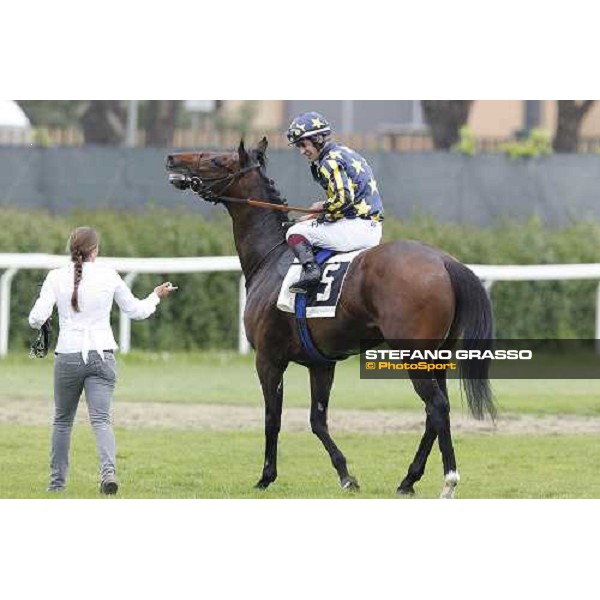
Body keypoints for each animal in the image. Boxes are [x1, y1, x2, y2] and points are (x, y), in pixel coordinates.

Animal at [166, 138, 494, 500]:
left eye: (216, 160)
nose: (172, 158)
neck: (270, 257)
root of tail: (444, 261)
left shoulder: (268, 359)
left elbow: (272, 418)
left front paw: (266, 477)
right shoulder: (321, 363)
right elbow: (317, 420)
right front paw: (346, 475)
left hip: (413, 354)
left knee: (436, 407)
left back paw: (448, 480)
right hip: (438, 356)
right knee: (436, 411)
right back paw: (408, 480)